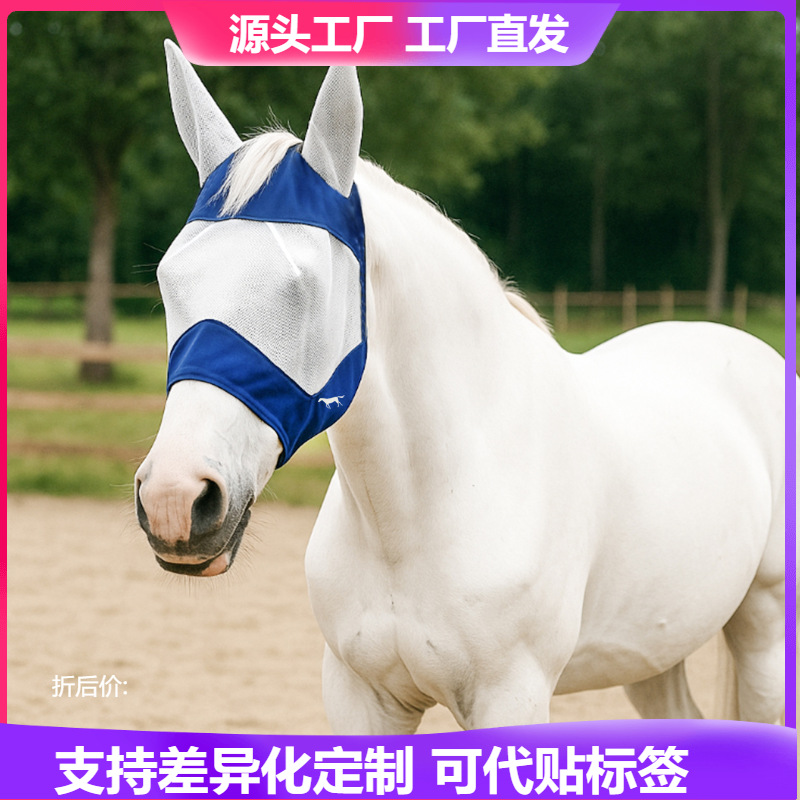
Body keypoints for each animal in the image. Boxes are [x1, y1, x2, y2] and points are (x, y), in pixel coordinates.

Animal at [135, 44, 787, 734]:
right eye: (168, 277)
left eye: (304, 286)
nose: (176, 499)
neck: (417, 515)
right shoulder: (360, 696)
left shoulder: (512, 696)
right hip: (651, 649)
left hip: (763, 631)